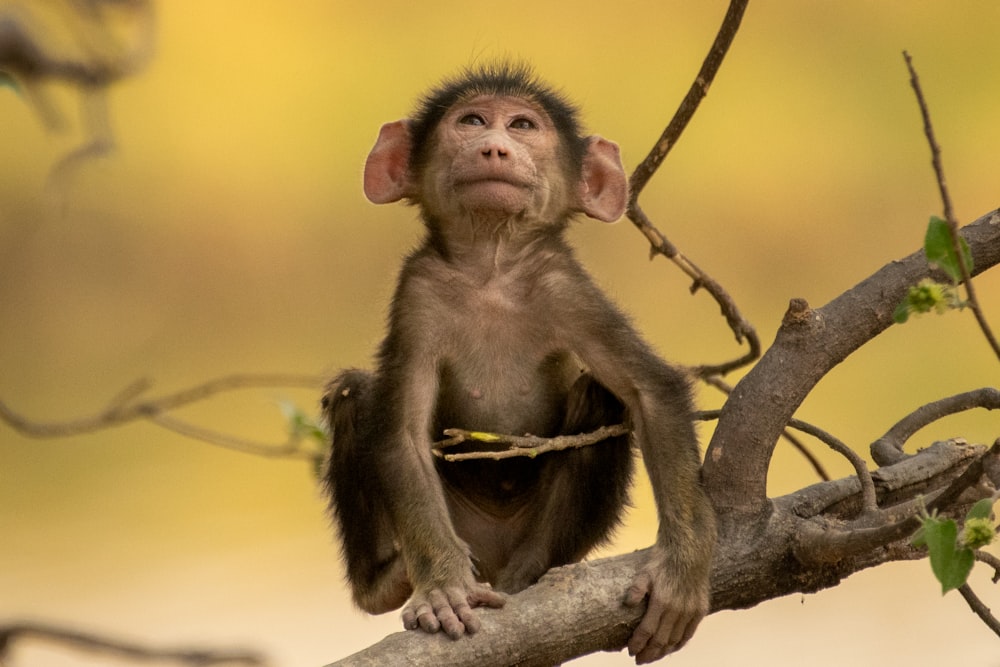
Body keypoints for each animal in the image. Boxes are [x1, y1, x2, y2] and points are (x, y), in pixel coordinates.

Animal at [324, 61, 716, 664]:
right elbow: (401, 433)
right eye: (472, 121)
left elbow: (652, 390)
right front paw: (443, 589)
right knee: (354, 394)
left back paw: (533, 572)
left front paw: (680, 574)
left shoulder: (564, 283)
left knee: (601, 393)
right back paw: (384, 582)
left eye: (523, 126)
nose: (494, 148)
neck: (491, 266)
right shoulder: (418, 292)